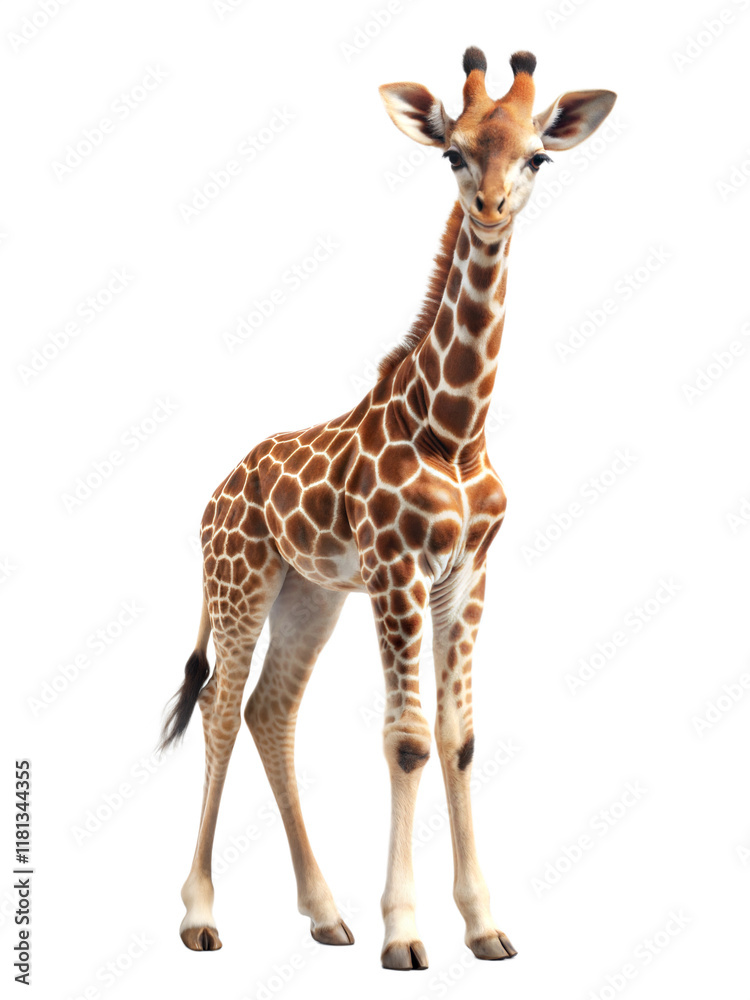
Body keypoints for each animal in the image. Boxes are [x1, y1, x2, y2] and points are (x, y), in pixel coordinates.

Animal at [161, 46, 616, 969]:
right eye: (453, 153)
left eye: (537, 156)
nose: (489, 210)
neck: (455, 430)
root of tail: (214, 495)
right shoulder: (398, 568)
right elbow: (405, 740)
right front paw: (405, 933)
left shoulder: (464, 574)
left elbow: (458, 737)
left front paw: (484, 926)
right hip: (240, 584)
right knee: (222, 708)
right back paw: (199, 916)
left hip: (311, 595)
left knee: (269, 709)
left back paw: (324, 914)